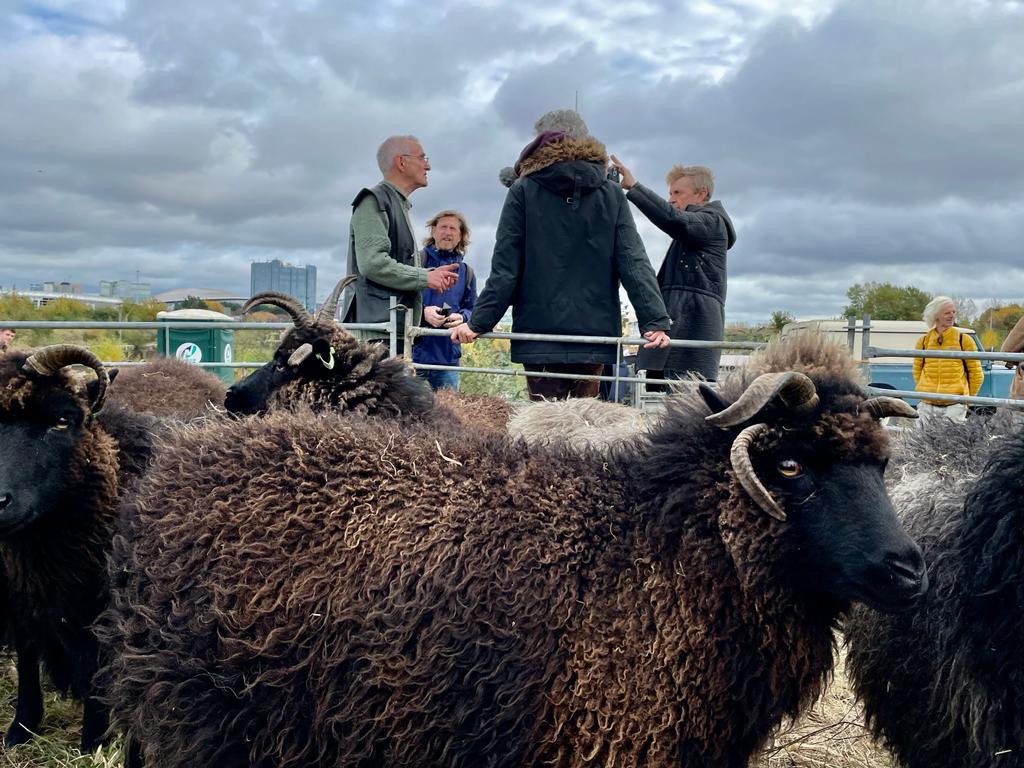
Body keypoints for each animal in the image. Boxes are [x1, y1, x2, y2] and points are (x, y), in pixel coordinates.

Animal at [0, 345, 163, 752]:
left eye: (62, 420)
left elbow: (96, 671)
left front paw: (93, 741)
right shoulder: (20, 600)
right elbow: (27, 661)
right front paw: (21, 728)